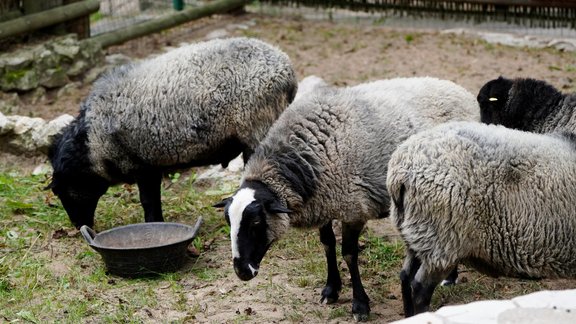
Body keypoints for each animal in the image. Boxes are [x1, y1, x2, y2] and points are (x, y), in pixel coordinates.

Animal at [47, 37, 296, 228]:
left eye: (62, 192)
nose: (79, 226)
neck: (92, 143)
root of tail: (287, 71)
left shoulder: (142, 165)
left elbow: (148, 200)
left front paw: (152, 223)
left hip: (258, 128)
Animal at [214, 76, 480, 322]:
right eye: (228, 222)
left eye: (256, 222)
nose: (241, 272)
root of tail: (458, 89)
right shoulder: (323, 204)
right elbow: (327, 244)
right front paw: (331, 289)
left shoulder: (354, 209)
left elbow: (349, 254)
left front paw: (360, 305)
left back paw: (450, 277)